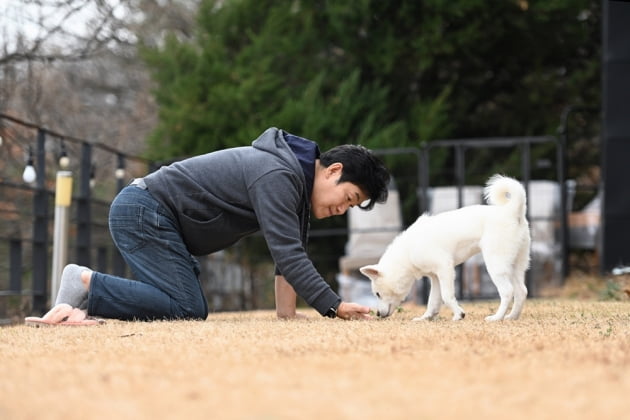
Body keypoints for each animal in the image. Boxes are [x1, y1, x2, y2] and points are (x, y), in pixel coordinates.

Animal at [362, 174, 532, 322]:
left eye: (377, 294)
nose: (378, 314)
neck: (407, 252)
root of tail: (511, 211)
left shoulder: (445, 268)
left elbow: (447, 296)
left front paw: (458, 315)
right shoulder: (435, 277)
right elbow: (433, 301)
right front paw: (425, 318)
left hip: (496, 265)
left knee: (508, 291)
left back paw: (497, 317)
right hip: (514, 266)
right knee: (521, 291)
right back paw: (512, 317)